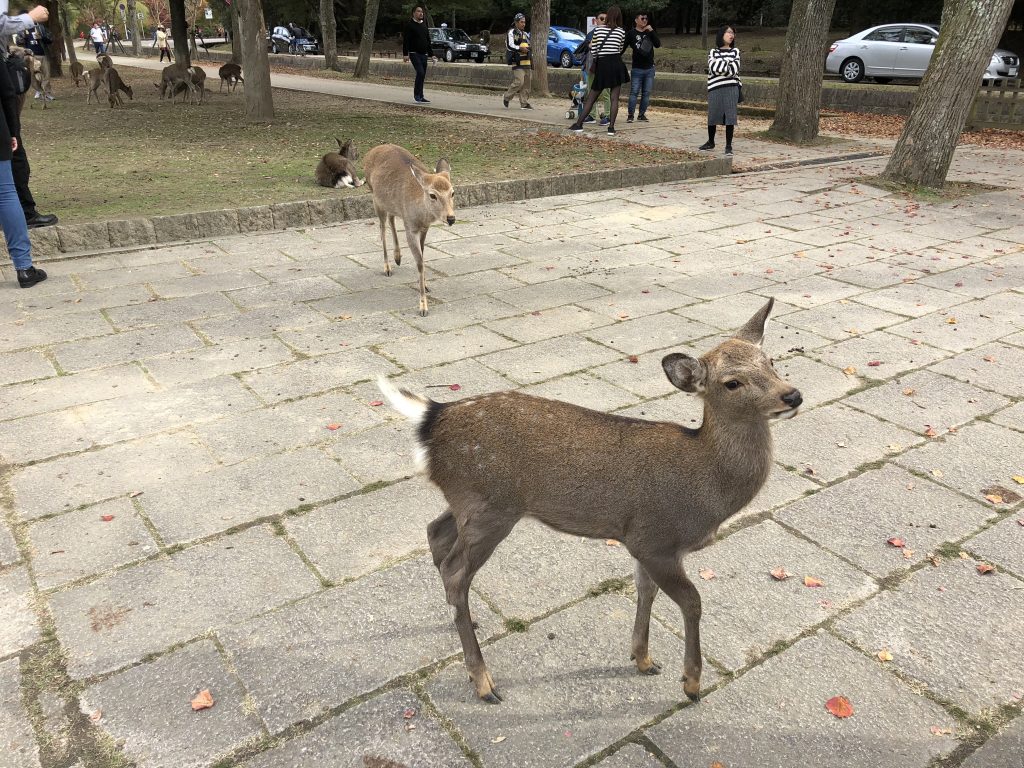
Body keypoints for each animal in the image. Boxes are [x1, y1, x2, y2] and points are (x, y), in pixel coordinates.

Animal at [362, 144, 454, 319]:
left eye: (453, 192)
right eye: (432, 195)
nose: (451, 218)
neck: (421, 216)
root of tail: (371, 151)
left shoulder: (424, 229)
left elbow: (423, 256)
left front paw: (425, 285)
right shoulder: (410, 227)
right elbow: (419, 263)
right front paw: (423, 307)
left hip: (390, 203)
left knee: (391, 218)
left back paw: (397, 257)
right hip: (375, 198)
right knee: (382, 228)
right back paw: (388, 267)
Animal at [376, 299, 798, 704]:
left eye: (771, 361)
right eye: (732, 382)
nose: (792, 394)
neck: (707, 487)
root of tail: (432, 417)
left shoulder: (642, 542)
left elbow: (645, 591)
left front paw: (643, 659)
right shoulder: (655, 537)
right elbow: (692, 601)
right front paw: (691, 684)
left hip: (469, 499)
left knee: (435, 533)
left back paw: (463, 621)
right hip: (489, 507)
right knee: (454, 570)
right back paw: (483, 682)